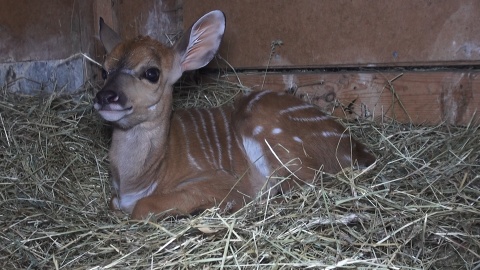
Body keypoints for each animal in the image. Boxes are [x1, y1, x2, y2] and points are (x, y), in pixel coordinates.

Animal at [94, 10, 376, 220]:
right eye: (104, 70)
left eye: (152, 73)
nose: (106, 97)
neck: (143, 179)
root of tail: (359, 150)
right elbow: (113, 203)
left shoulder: (221, 182)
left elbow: (143, 208)